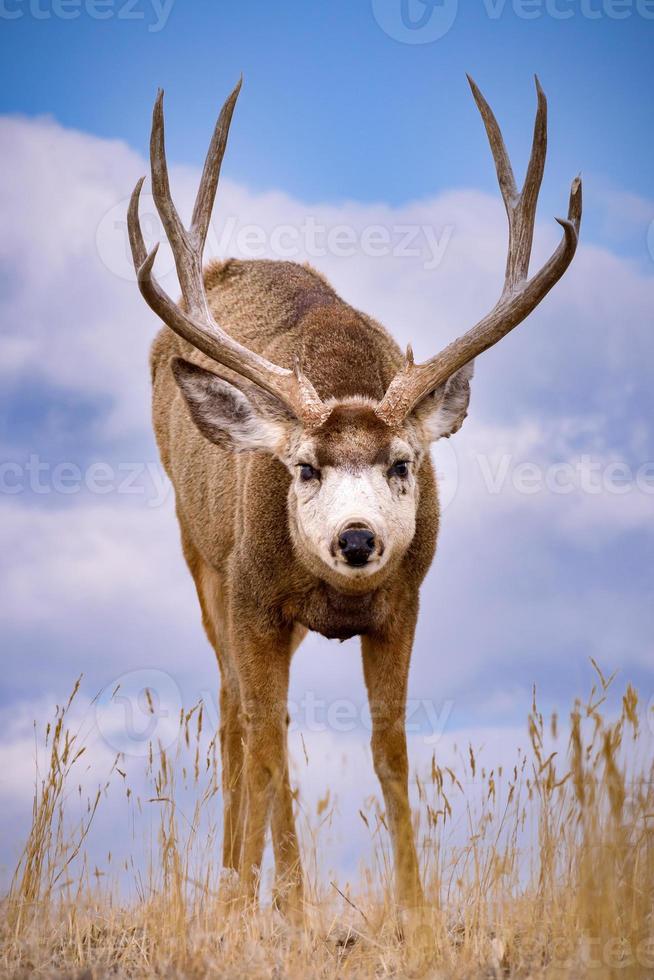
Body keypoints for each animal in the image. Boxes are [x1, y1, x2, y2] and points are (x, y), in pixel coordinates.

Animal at [128, 76, 584, 920]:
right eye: (304, 468)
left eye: (403, 463)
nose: (358, 538)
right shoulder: (251, 595)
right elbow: (267, 745)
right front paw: (284, 909)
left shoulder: (404, 602)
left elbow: (390, 751)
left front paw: (416, 912)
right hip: (201, 557)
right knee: (239, 718)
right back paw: (245, 890)